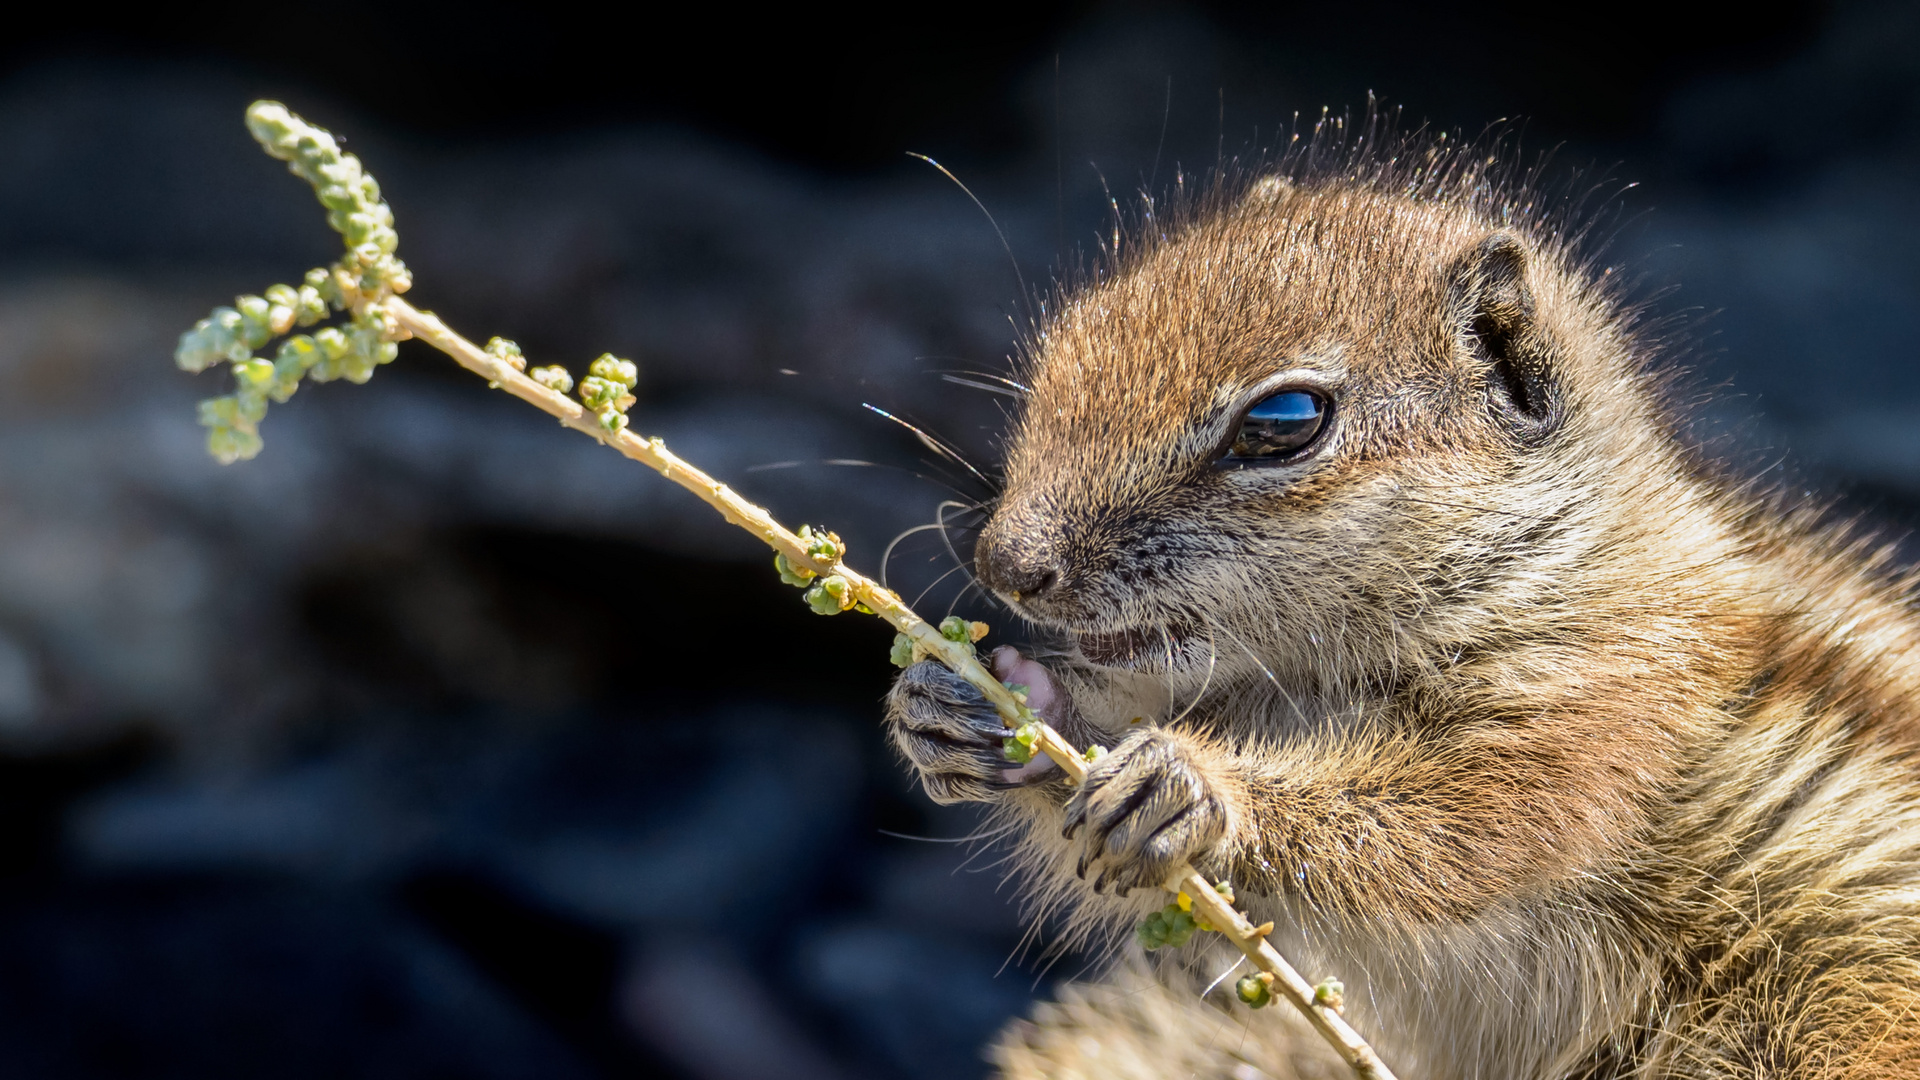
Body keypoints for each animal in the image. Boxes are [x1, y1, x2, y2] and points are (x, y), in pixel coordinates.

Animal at [887, 130, 1920, 1068]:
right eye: (1069, 340)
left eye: (1285, 421)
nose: (1005, 562)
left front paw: (1195, 789)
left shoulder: (1600, 700)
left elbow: (1456, 824)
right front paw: (980, 707)